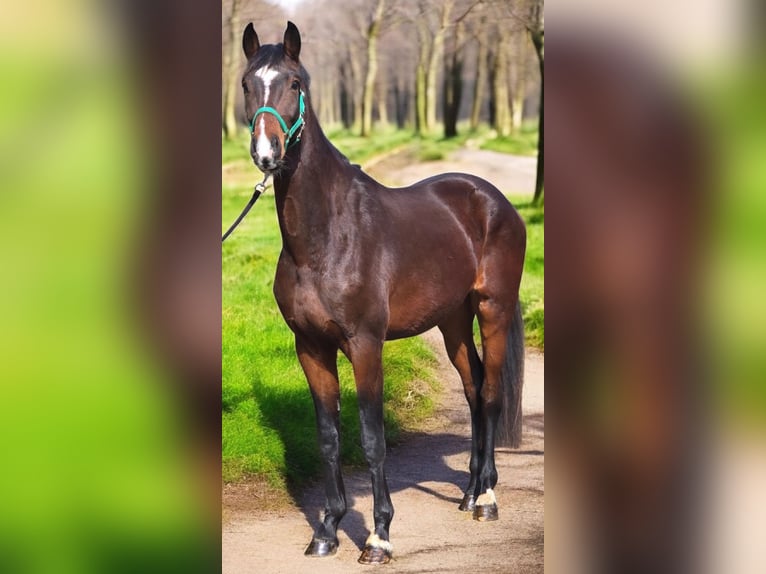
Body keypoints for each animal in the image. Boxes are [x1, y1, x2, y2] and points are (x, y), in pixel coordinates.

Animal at [238, 21, 526, 565]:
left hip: (492, 310)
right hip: (452, 320)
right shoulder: (310, 347)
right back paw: (469, 493)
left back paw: (487, 498)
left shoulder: (365, 344)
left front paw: (378, 537)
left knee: (492, 392)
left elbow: (373, 439)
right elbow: (328, 438)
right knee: (473, 387)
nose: (267, 154)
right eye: (246, 84)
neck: (326, 238)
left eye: (294, 83)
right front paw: (327, 530)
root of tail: (493, 199)